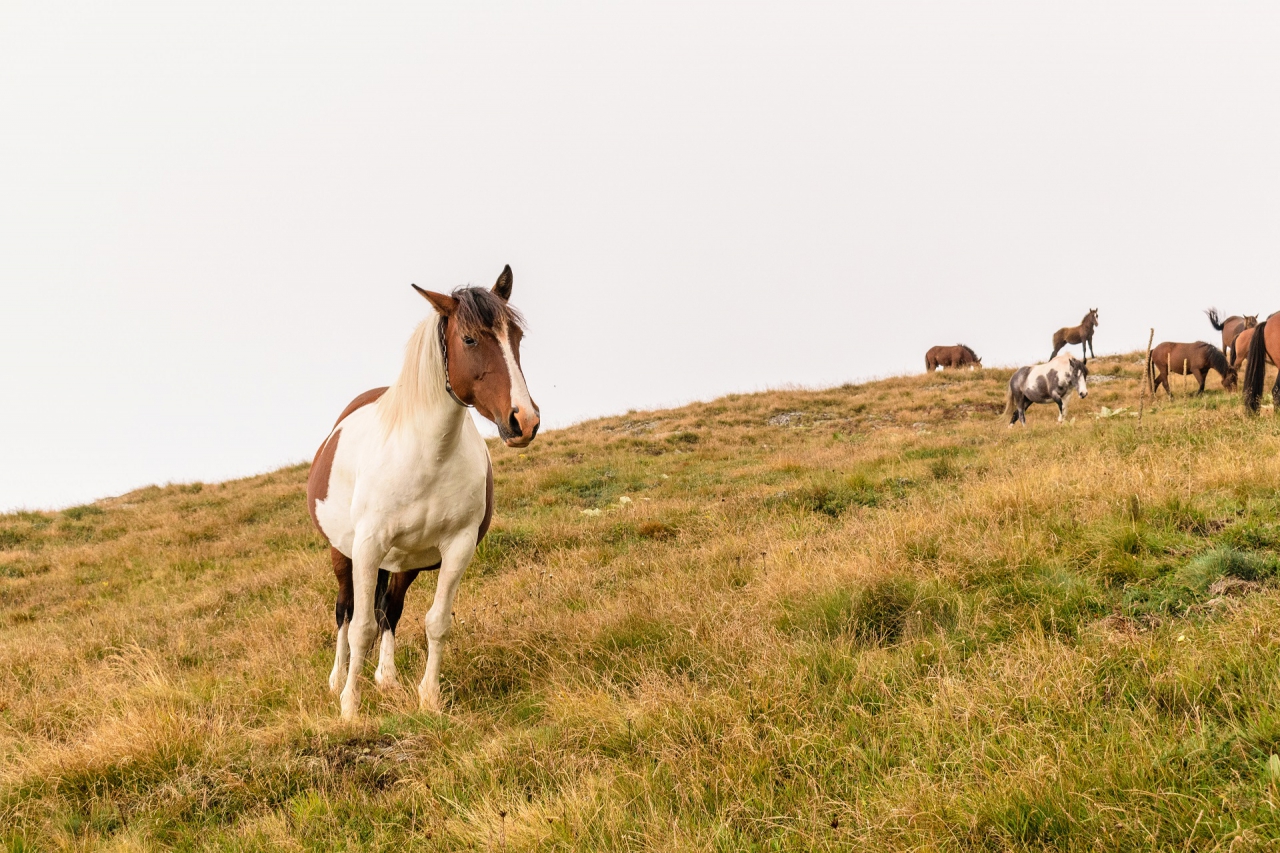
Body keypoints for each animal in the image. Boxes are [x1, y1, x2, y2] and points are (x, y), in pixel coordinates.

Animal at [308, 262, 540, 712]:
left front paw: (429, 699)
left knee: (389, 610)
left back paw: (387, 678)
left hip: (405, 562)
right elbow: (360, 626)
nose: (524, 420)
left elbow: (435, 622)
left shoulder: (458, 547)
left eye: (516, 336)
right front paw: (350, 706)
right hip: (342, 553)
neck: (426, 456)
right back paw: (336, 678)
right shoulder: (367, 547)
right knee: (345, 610)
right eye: (469, 338)